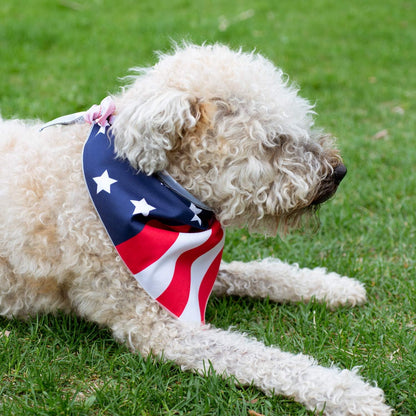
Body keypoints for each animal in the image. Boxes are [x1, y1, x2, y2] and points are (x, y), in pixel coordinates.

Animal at [0, 44, 390, 414]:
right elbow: (264, 358)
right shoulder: (157, 324)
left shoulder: (189, 274)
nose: (339, 172)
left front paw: (331, 285)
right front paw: (348, 391)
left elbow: (260, 272)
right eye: (274, 140)